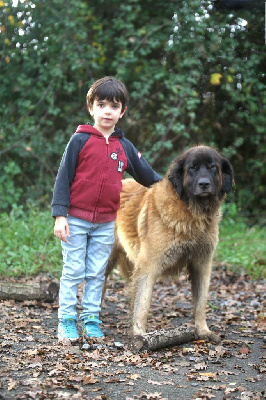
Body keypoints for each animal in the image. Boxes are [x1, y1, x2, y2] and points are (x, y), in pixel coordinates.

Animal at [105, 145, 234, 342]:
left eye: (212, 166)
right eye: (192, 168)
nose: (204, 184)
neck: (192, 214)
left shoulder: (202, 264)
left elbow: (201, 303)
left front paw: (202, 331)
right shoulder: (148, 266)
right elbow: (143, 304)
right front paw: (140, 335)